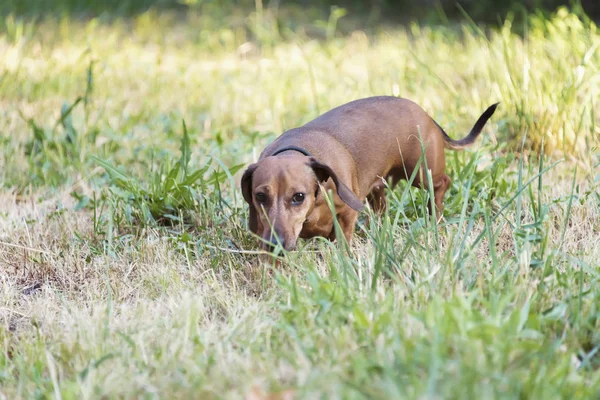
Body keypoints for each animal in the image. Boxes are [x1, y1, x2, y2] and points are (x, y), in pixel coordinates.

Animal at [239, 96, 496, 250]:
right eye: (260, 196)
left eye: (298, 197)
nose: (276, 244)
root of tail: (424, 112)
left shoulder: (346, 214)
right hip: (379, 187)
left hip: (422, 172)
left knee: (443, 183)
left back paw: (435, 216)